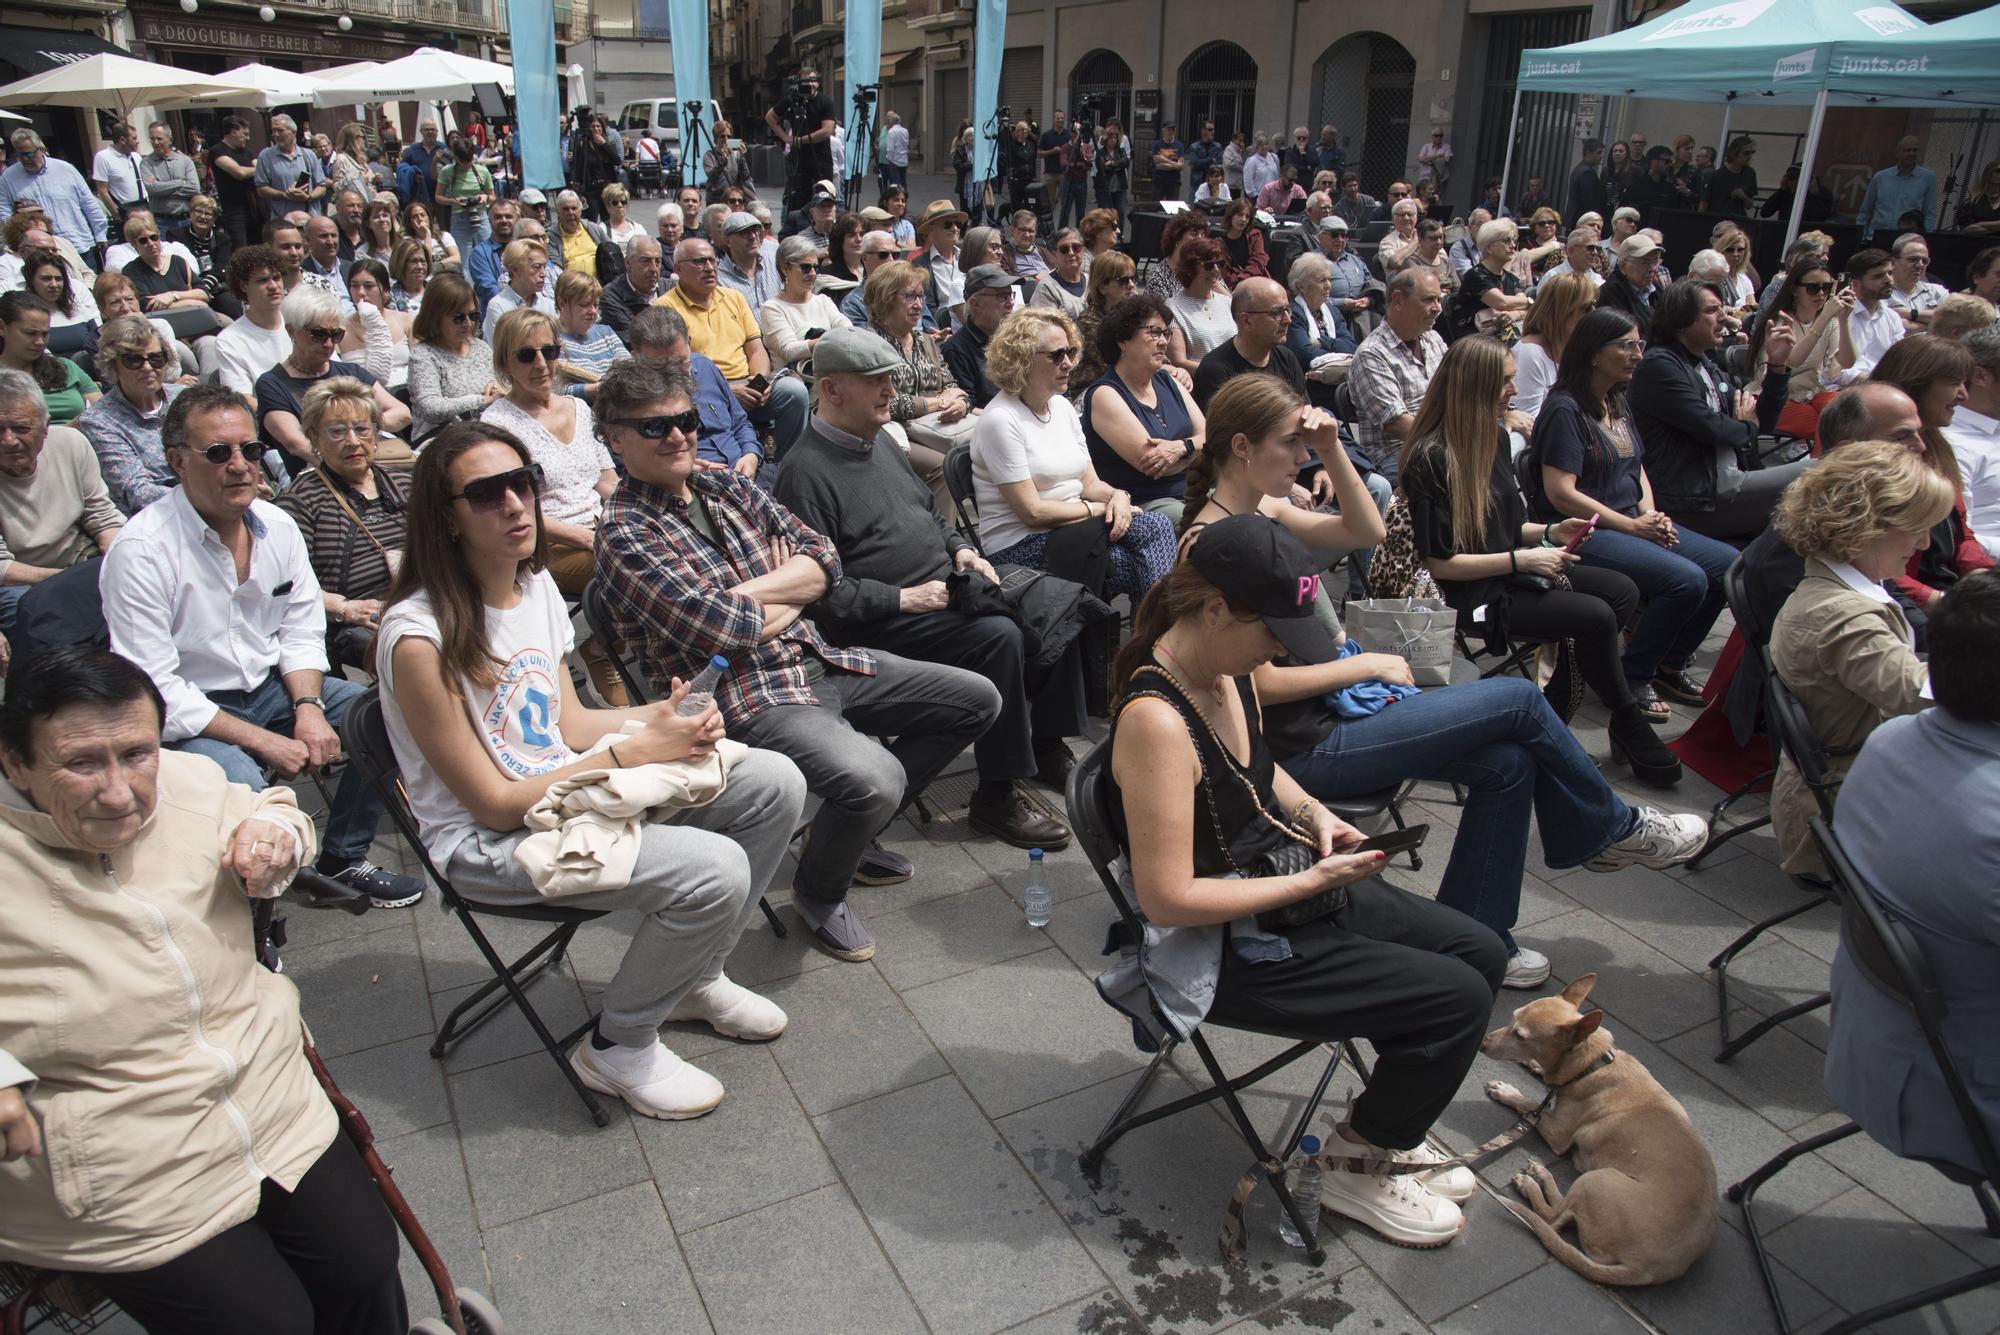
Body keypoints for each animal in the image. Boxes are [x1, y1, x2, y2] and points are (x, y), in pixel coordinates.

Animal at [1488, 971, 1720, 1279]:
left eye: (1520, 1035)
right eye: (1512, 1017)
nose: (1483, 1043)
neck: (1594, 1065)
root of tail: (1642, 1268)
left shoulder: (1558, 1133)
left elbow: (1529, 1103)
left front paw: (1508, 1091)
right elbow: (1546, 1080)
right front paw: (1535, 1067)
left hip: (1595, 1180)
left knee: (1554, 1218)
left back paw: (1534, 1180)